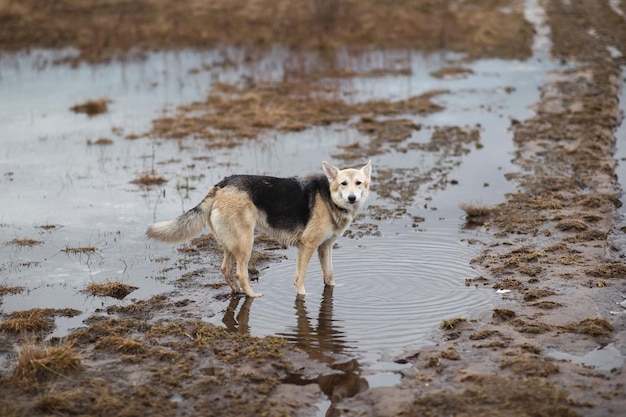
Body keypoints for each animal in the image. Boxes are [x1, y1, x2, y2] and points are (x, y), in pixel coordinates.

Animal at [146, 159, 370, 296]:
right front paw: (302, 295)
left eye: (359, 183)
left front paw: (334, 287)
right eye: (343, 184)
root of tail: (221, 185)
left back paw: (237, 292)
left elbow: (329, 276)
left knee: (225, 269)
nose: (352, 198)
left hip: (230, 243)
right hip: (246, 242)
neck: (329, 198)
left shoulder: (325, 247)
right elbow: (300, 278)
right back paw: (251, 294)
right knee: (240, 273)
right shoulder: (308, 245)